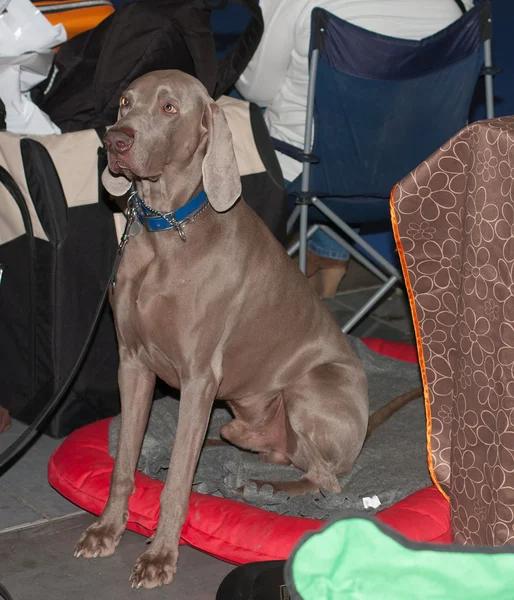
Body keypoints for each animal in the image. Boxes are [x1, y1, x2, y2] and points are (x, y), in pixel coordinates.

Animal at [74, 69, 366, 584]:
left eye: (169, 107)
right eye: (125, 101)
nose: (115, 141)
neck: (167, 229)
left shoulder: (198, 377)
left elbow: (176, 481)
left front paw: (160, 556)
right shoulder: (132, 364)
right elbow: (124, 462)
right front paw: (107, 529)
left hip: (309, 387)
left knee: (324, 481)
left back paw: (258, 487)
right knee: (260, 448)